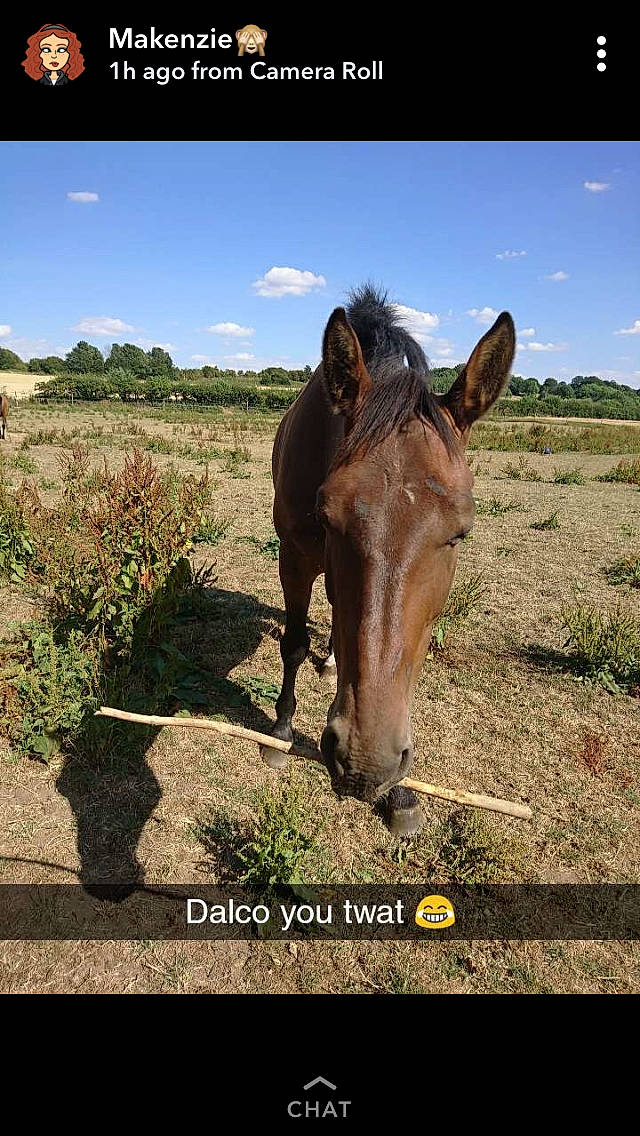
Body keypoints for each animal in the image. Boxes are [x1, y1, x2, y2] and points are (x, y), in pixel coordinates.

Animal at [260, 285, 515, 835]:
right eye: (326, 514)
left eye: (460, 533)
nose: (364, 762)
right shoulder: (295, 557)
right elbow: (293, 644)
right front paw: (282, 729)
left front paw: (401, 793)